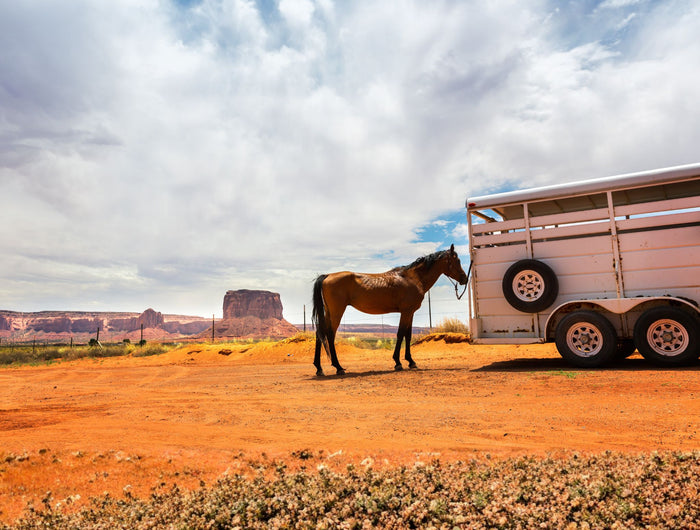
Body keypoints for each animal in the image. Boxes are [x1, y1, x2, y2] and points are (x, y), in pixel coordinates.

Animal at [312, 244, 469, 376]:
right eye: (457, 261)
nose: (465, 279)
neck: (413, 278)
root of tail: (327, 276)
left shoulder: (410, 312)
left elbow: (408, 335)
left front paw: (411, 362)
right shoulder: (406, 311)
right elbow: (400, 334)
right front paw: (398, 362)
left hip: (328, 312)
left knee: (320, 332)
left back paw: (319, 369)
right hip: (336, 311)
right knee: (330, 334)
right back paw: (338, 367)